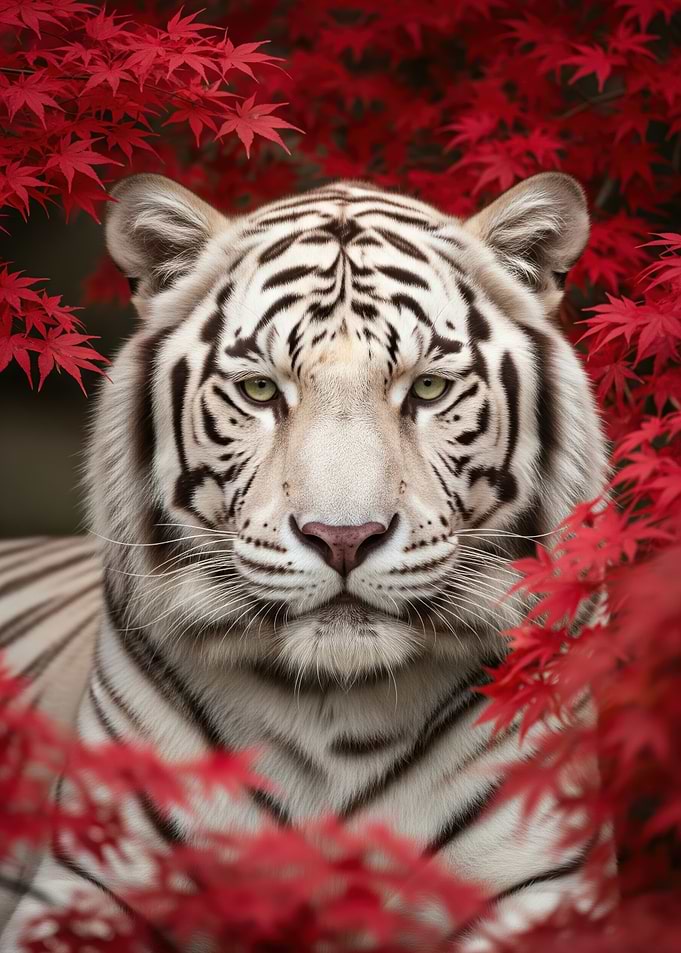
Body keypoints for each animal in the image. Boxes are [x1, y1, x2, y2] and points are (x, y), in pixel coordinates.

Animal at [0, 171, 609, 950]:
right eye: (261, 389)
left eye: (429, 388)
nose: (343, 536)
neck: (336, 711)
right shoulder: (87, 880)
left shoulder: (551, 886)